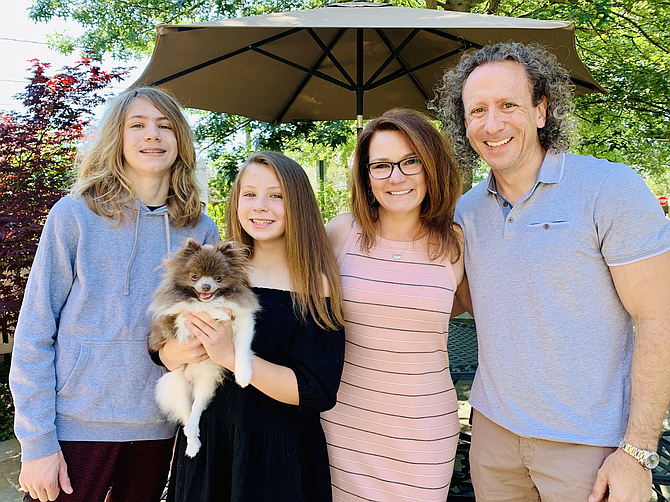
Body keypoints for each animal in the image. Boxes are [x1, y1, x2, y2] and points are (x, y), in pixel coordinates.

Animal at [148, 237, 262, 456]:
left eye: (219, 278)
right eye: (194, 277)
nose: (206, 286)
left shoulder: (244, 322)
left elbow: (242, 349)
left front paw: (244, 374)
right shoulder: (176, 322)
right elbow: (197, 308)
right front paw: (218, 312)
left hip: (206, 382)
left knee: (197, 407)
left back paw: (193, 432)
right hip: (176, 384)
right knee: (185, 413)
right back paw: (192, 443)